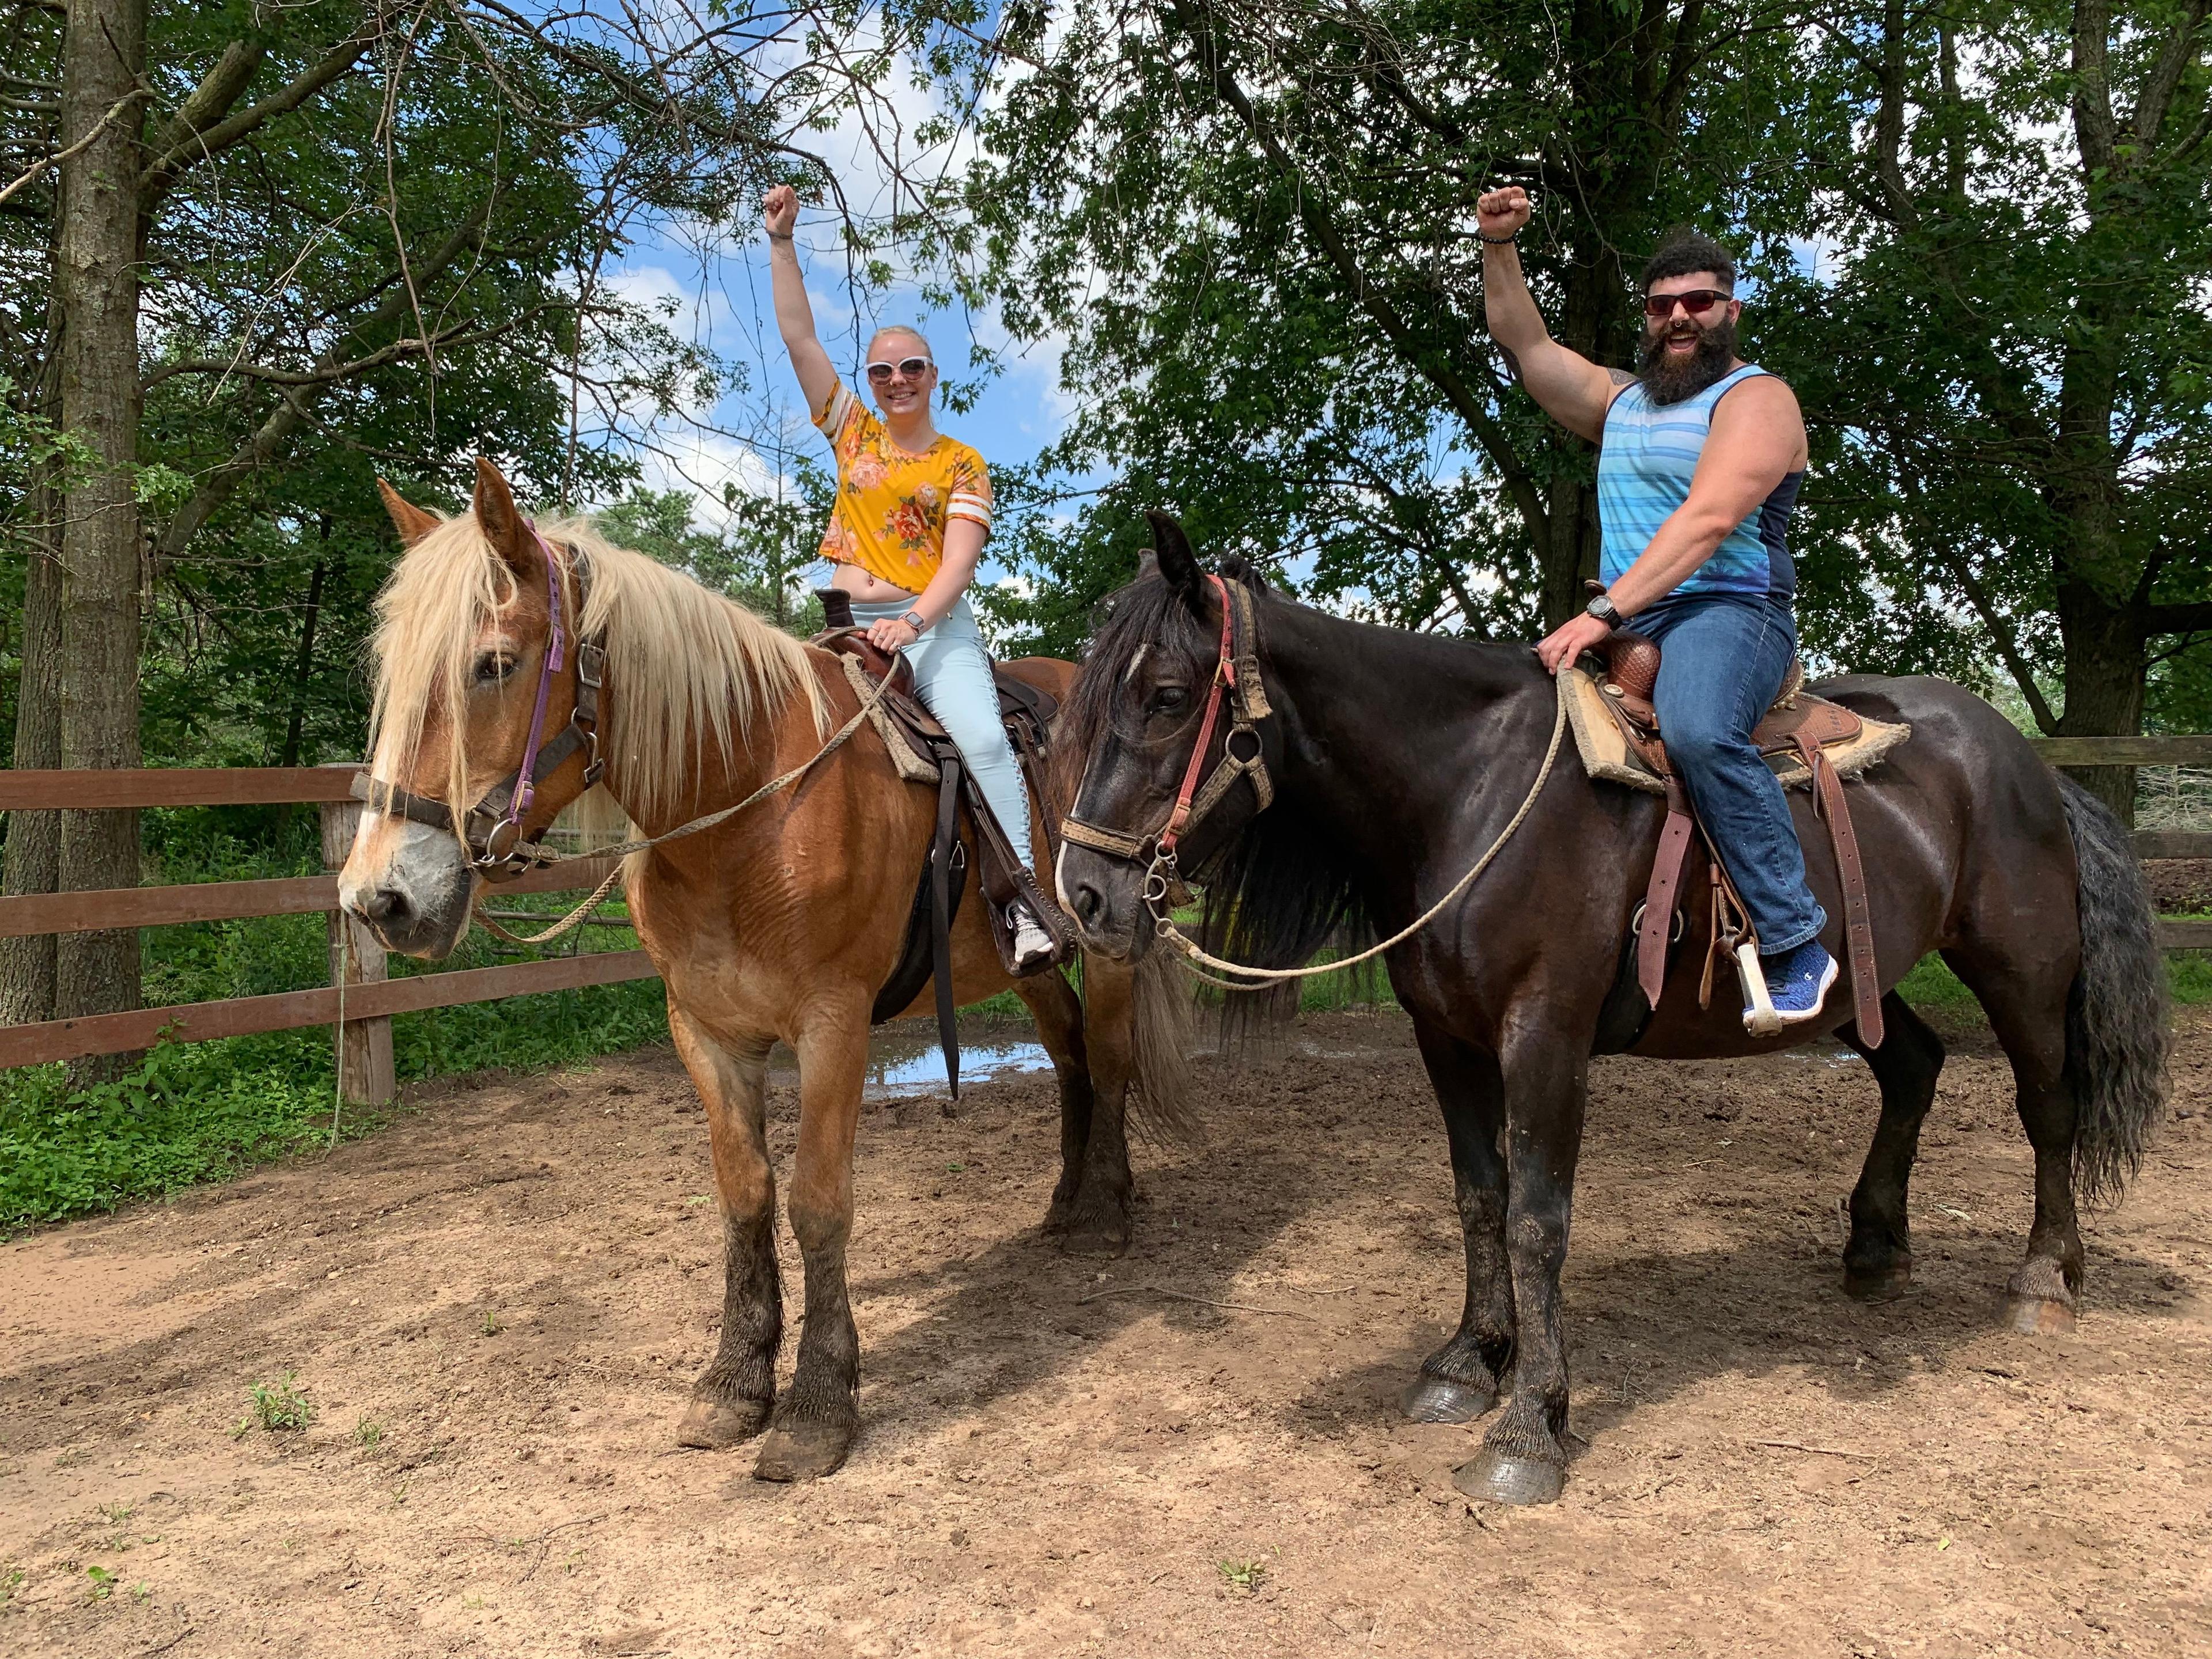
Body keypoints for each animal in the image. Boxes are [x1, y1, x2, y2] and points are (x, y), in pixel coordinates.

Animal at [336, 464, 1185, 1478]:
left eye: (494, 664)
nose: (379, 899)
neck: (747, 811)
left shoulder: (834, 1025)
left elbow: (818, 1203)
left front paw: (819, 1404)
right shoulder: (705, 1030)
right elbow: (745, 1196)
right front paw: (734, 1382)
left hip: (1112, 945)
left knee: (1111, 1058)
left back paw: (1110, 1213)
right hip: (1030, 967)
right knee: (1070, 1061)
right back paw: (1064, 1205)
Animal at [1052, 520, 2158, 1504]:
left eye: (1165, 696)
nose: (1087, 897)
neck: (1469, 790)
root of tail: (2032, 765)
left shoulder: (1545, 1037)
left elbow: (1539, 1221)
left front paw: (1529, 1426)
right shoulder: (1445, 1038)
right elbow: (1479, 1197)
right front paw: (1468, 1360)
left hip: (2021, 970)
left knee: (2048, 1107)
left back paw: (2044, 1282)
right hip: (1858, 985)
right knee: (1915, 1069)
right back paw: (1876, 1249)